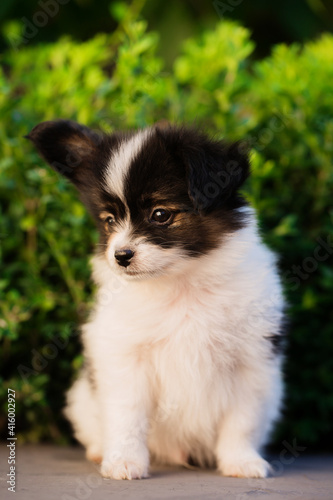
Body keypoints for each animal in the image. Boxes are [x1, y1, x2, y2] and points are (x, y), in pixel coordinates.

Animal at [27, 119, 284, 478]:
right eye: (109, 220)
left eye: (160, 214)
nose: (120, 256)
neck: (181, 283)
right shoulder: (126, 357)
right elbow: (128, 415)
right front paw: (124, 460)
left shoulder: (251, 360)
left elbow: (242, 419)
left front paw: (241, 461)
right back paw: (99, 450)